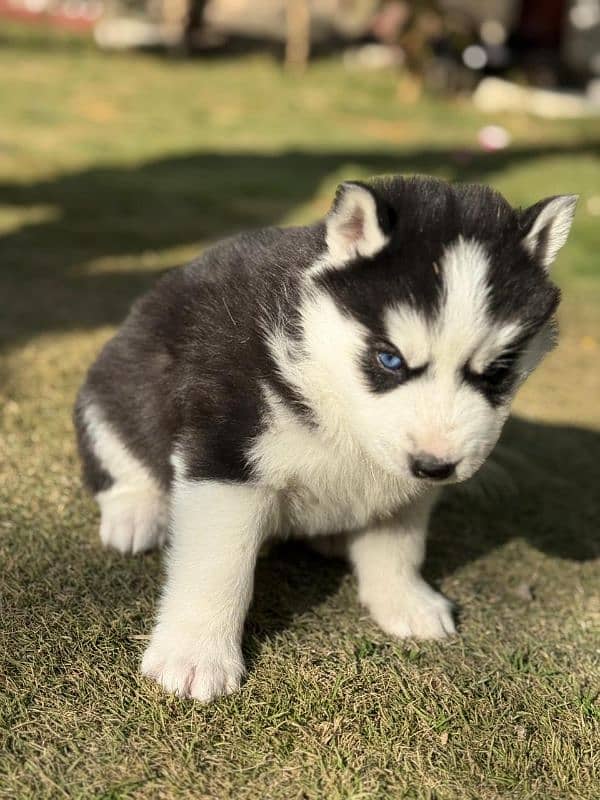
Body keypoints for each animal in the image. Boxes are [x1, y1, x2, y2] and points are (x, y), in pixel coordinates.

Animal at [74, 175, 576, 700]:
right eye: (390, 359)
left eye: (497, 371)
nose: (436, 466)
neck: (328, 380)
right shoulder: (226, 454)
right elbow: (218, 565)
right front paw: (194, 655)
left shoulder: (403, 481)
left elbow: (398, 544)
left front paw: (405, 600)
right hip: (116, 385)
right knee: (118, 454)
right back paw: (135, 515)